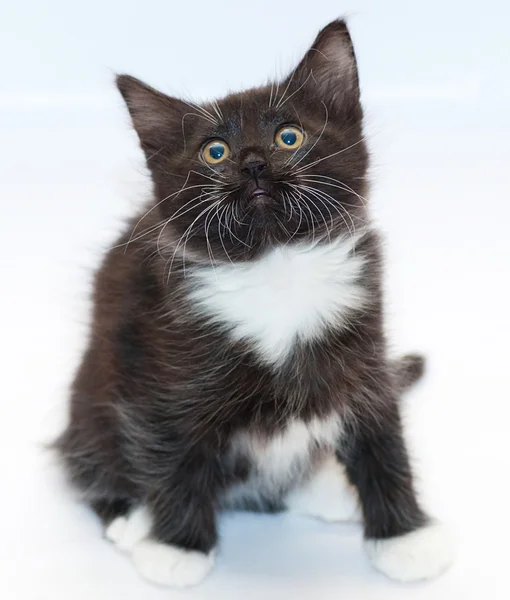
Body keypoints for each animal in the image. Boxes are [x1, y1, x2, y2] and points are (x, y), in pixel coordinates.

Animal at [55, 21, 454, 588]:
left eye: (290, 136)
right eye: (215, 151)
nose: (253, 163)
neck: (275, 265)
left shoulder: (364, 347)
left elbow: (381, 435)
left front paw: (404, 537)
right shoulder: (164, 362)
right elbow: (171, 447)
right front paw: (177, 546)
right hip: (90, 391)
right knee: (88, 454)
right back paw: (132, 518)